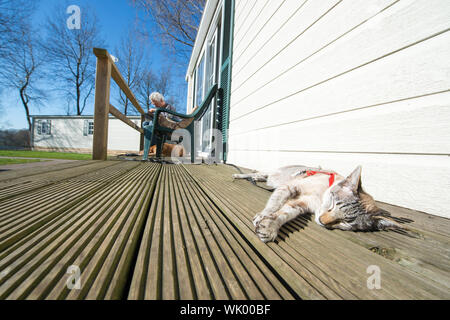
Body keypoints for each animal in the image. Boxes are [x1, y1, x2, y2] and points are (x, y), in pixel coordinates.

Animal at [234, 165, 402, 242]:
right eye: (333, 204)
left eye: (346, 222)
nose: (322, 221)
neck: (320, 197)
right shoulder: (290, 187)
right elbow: (274, 204)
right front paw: (263, 215)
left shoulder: (300, 204)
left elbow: (283, 214)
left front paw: (269, 227)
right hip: (273, 174)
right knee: (258, 173)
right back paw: (239, 175)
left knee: (260, 176)